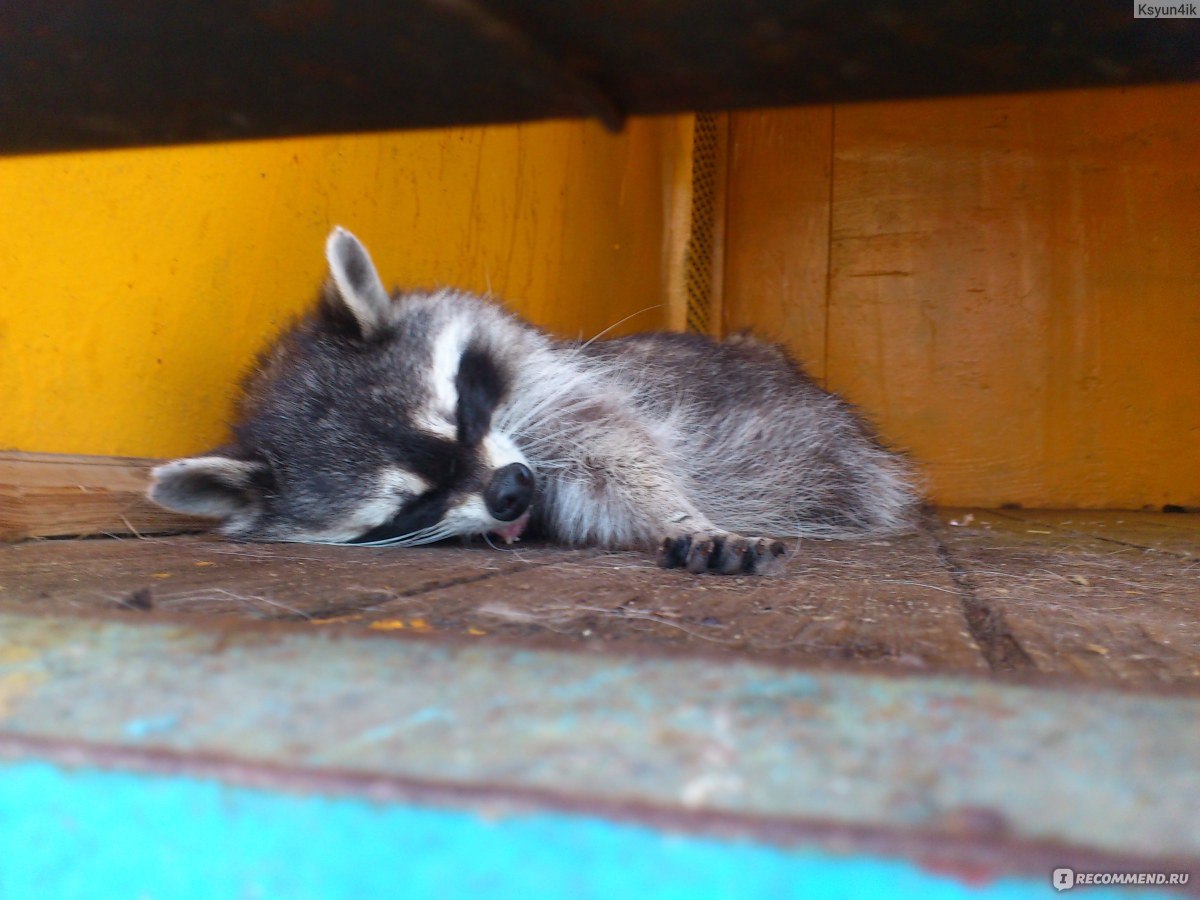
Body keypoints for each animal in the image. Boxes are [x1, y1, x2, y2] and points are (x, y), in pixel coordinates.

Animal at [150, 229, 916, 573]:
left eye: (463, 413)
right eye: (415, 504)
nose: (513, 491)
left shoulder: (564, 388)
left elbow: (621, 456)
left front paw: (685, 515)